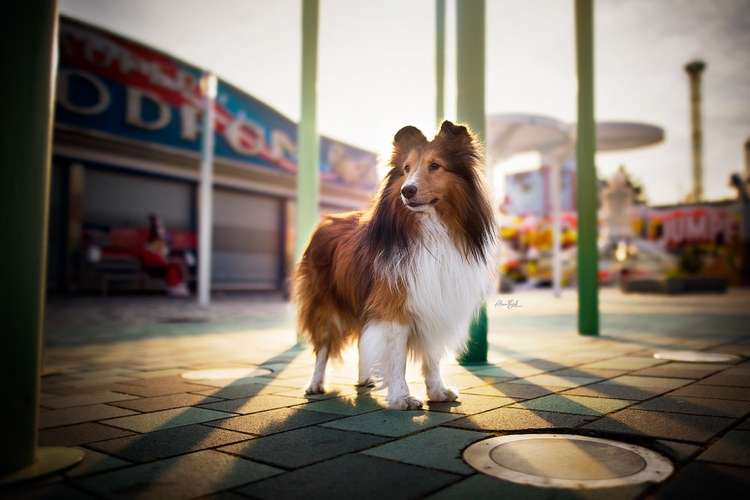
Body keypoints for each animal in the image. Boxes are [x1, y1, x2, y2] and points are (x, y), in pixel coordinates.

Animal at [296, 121, 500, 410]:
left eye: (435, 165)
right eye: (406, 169)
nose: (407, 190)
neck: (431, 230)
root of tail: (325, 221)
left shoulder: (433, 303)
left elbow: (432, 356)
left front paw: (438, 391)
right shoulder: (393, 307)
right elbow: (397, 359)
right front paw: (402, 397)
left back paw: (365, 379)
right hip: (326, 306)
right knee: (323, 348)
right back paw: (315, 384)